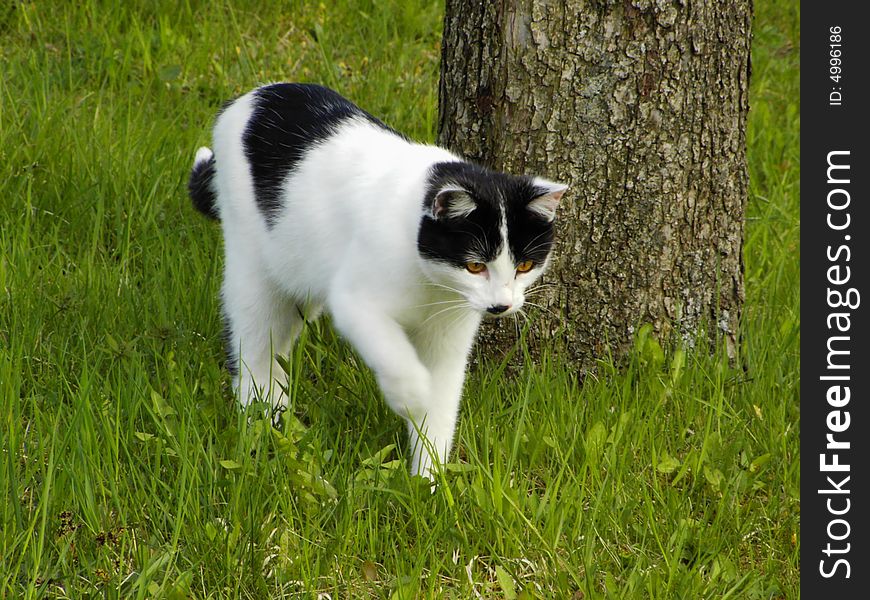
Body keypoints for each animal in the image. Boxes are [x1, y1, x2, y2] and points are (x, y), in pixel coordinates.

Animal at [188, 83, 568, 478]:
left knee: (277, 340)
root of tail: (249, 98)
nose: (501, 305)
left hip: (297, 277)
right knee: (251, 344)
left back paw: (277, 405)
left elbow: (442, 407)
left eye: (525, 265)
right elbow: (393, 352)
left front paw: (429, 480)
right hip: (251, 265)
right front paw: (413, 396)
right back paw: (259, 417)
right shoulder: (354, 301)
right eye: (475, 266)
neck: (432, 284)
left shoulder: (449, 336)